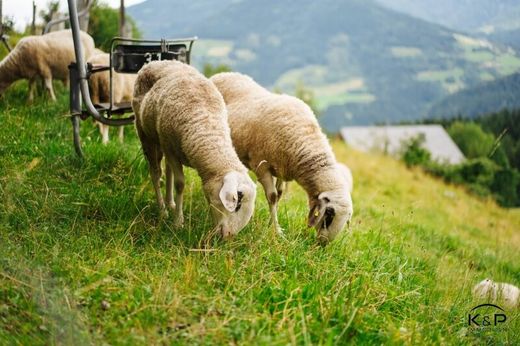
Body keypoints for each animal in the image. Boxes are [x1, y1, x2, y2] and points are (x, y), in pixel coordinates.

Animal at [132, 60, 258, 238]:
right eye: (237, 203)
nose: (228, 236)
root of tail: (158, 61)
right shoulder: (170, 149)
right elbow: (180, 184)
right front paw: (178, 223)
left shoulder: (172, 149)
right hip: (146, 133)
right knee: (156, 172)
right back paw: (163, 210)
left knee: (168, 170)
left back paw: (170, 203)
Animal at [211, 71, 354, 243]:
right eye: (329, 215)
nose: (323, 244)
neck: (304, 139)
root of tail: (223, 74)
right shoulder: (261, 166)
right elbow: (272, 197)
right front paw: (276, 230)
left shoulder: (282, 169)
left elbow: (278, 196)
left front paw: (270, 224)